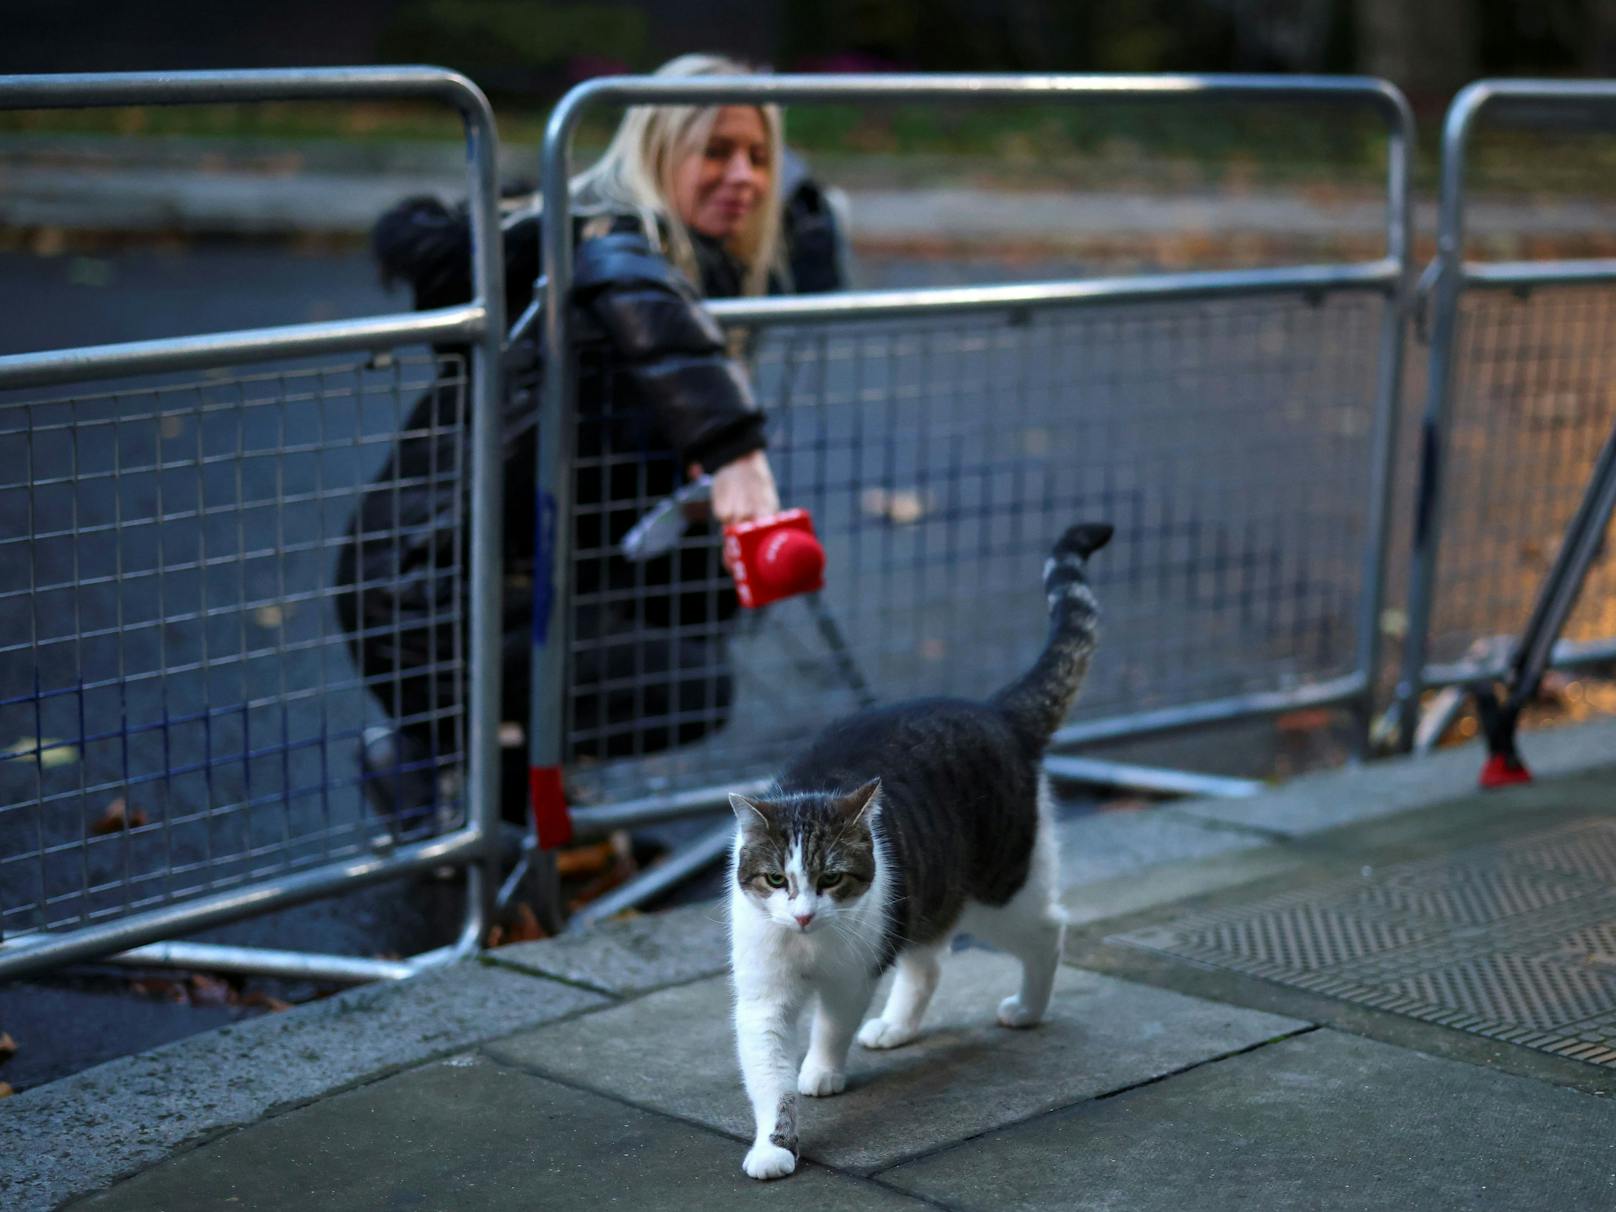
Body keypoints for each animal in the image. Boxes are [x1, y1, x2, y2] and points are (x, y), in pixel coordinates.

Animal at [723, 526, 1111, 1182]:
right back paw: (899, 1027)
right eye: (776, 880)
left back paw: (1028, 1009)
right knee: (928, 963)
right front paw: (774, 1144)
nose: (802, 914)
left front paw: (821, 1070)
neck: (807, 947)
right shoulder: (763, 994)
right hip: (925, 896)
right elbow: (769, 1073)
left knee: (1048, 929)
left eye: (832, 880)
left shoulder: (853, 971)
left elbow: (831, 1027)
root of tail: (996, 711)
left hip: (997, 889)